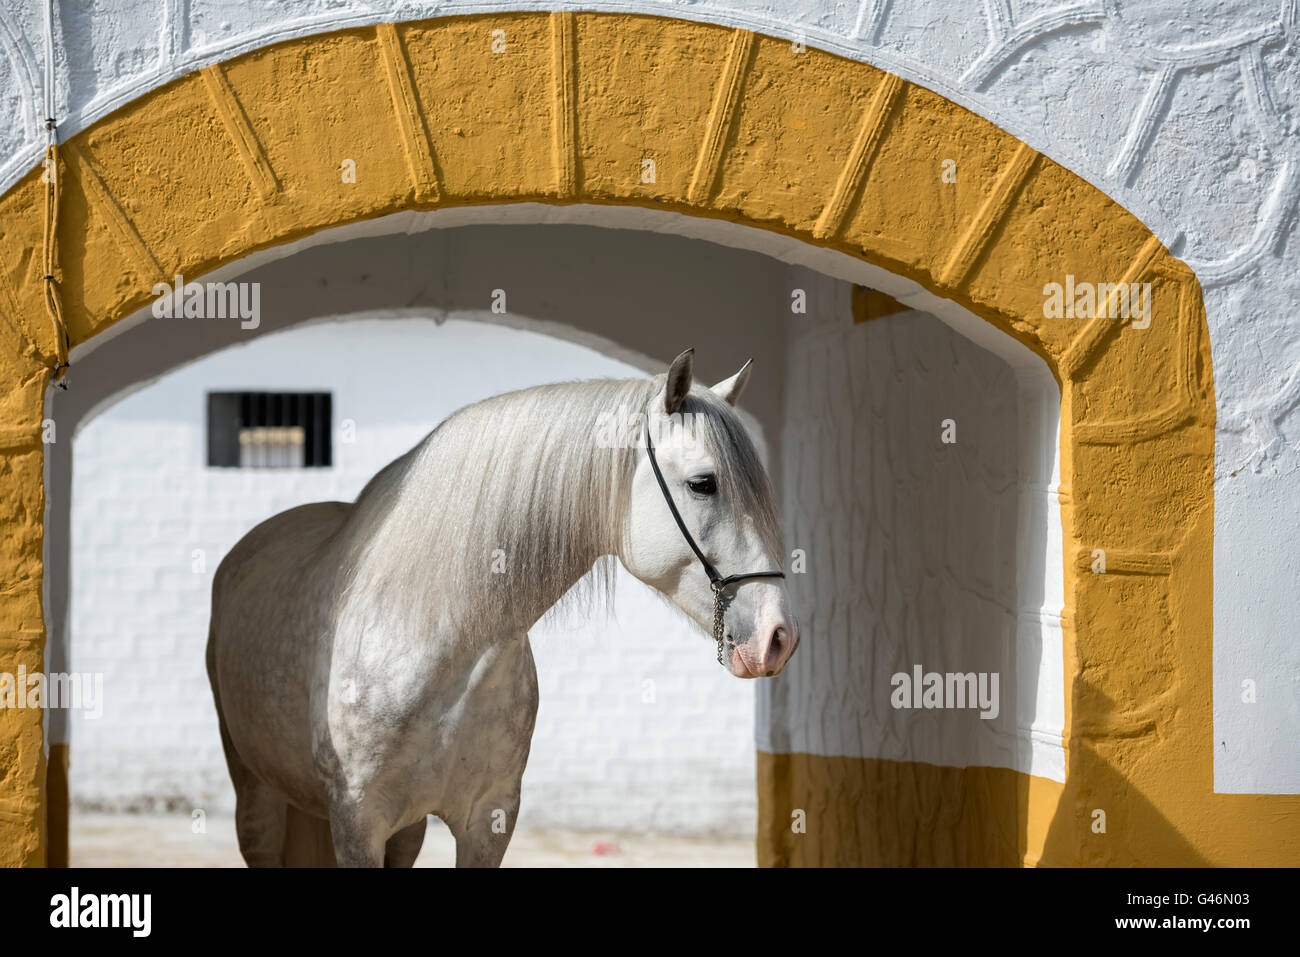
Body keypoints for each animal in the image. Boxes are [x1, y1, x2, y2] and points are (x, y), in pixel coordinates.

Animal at [208, 351, 795, 868]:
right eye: (703, 483)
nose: (778, 637)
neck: (442, 645)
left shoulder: (490, 818)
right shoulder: (357, 821)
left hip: (406, 830)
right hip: (256, 797)